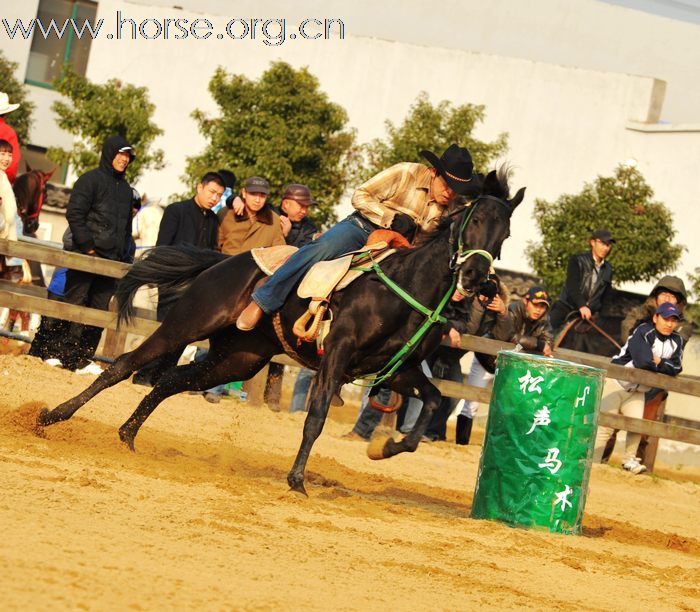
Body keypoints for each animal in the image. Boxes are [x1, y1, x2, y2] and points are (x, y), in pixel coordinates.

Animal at [37, 170, 520, 494]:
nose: (476, 277)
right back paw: (51, 417)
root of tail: (222, 262)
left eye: (506, 233)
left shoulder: (396, 370)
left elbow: (433, 402)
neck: (406, 286)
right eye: (475, 220)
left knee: (170, 382)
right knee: (123, 365)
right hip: (187, 324)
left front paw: (382, 450)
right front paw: (297, 480)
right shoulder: (337, 355)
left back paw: (127, 436)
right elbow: (317, 415)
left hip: (238, 358)